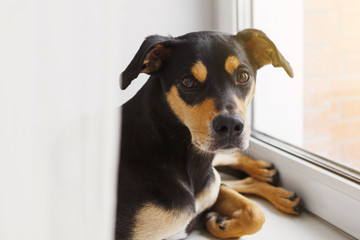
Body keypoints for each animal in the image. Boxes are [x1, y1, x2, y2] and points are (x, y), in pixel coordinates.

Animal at [117, 29, 300, 239]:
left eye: (243, 76)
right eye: (188, 82)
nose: (231, 125)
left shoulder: (213, 188)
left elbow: (255, 214)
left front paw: (219, 224)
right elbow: (253, 212)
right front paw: (218, 223)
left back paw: (266, 176)